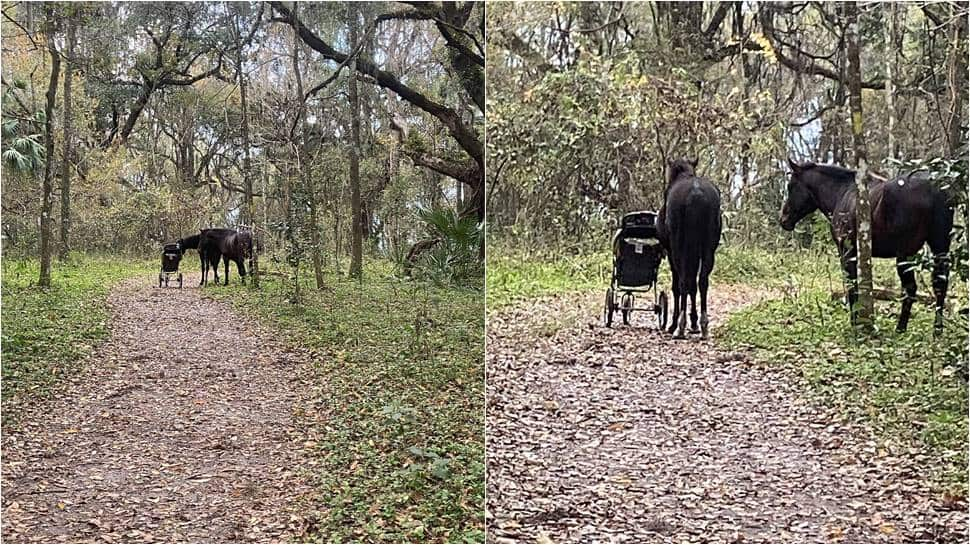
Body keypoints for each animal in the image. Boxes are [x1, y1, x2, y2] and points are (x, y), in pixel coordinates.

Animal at [656, 157, 720, 338]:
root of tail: (696, 194)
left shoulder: (672, 252)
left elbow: (678, 286)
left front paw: (674, 324)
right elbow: (694, 285)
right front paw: (695, 322)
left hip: (679, 248)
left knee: (683, 281)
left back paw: (680, 326)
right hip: (707, 249)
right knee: (702, 281)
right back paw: (703, 325)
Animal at [780, 157, 952, 334]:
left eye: (791, 186)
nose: (784, 219)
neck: (840, 193)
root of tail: (934, 191)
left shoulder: (847, 250)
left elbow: (852, 285)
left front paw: (855, 322)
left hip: (906, 253)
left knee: (910, 288)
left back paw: (901, 328)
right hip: (940, 246)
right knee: (940, 284)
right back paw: (937, 329)